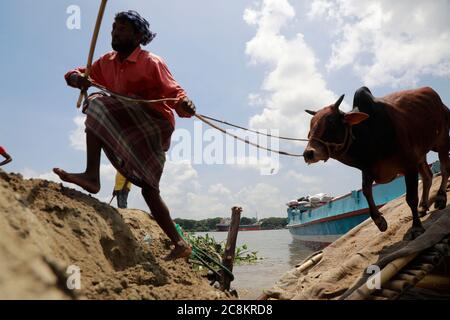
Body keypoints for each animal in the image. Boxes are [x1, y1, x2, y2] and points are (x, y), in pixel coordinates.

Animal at [302, 86, 450, 239]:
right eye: (311, 126)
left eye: (331, 121)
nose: (308, 153)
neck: (370, 133)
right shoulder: (368, 171)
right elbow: (366, 192)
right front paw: (380, 221)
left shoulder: (409, 166)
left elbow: (411, 198)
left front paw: (416, 228)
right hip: (421, 155)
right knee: (428, 177)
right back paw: (423, 207)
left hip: (442, 141)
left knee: (445, 169)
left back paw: (440, 198)